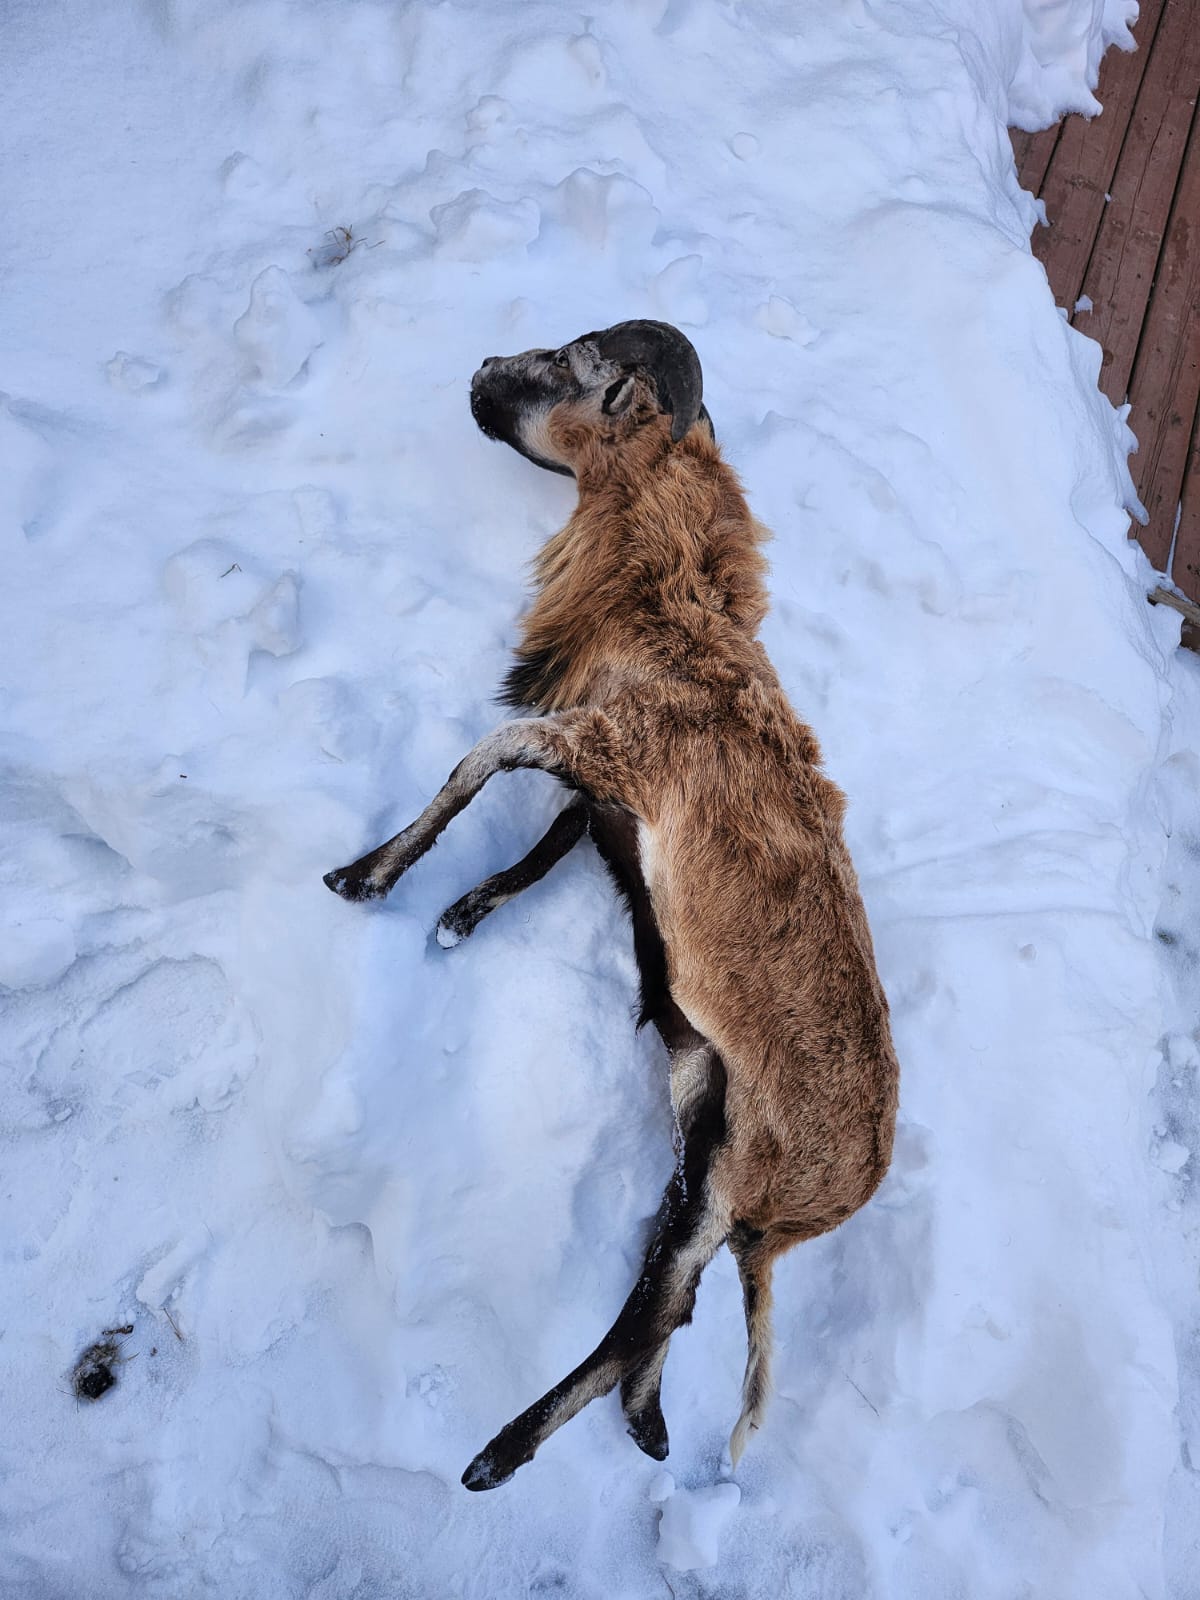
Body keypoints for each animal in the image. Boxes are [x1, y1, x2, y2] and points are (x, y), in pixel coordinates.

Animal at [324, 319, 899, 1490]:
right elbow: (551, 838)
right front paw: (460, 915)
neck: (667, 603)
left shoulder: (604, 744)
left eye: (576, 364)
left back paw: (498, 1456)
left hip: (727, 1176)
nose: (480, 372)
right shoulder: (609, 794)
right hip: (702, 1137)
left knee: (650, 1314)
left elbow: (479, 762)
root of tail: (825, 1206)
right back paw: (646, 1425)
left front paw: (369, 878)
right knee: (665, 1306)